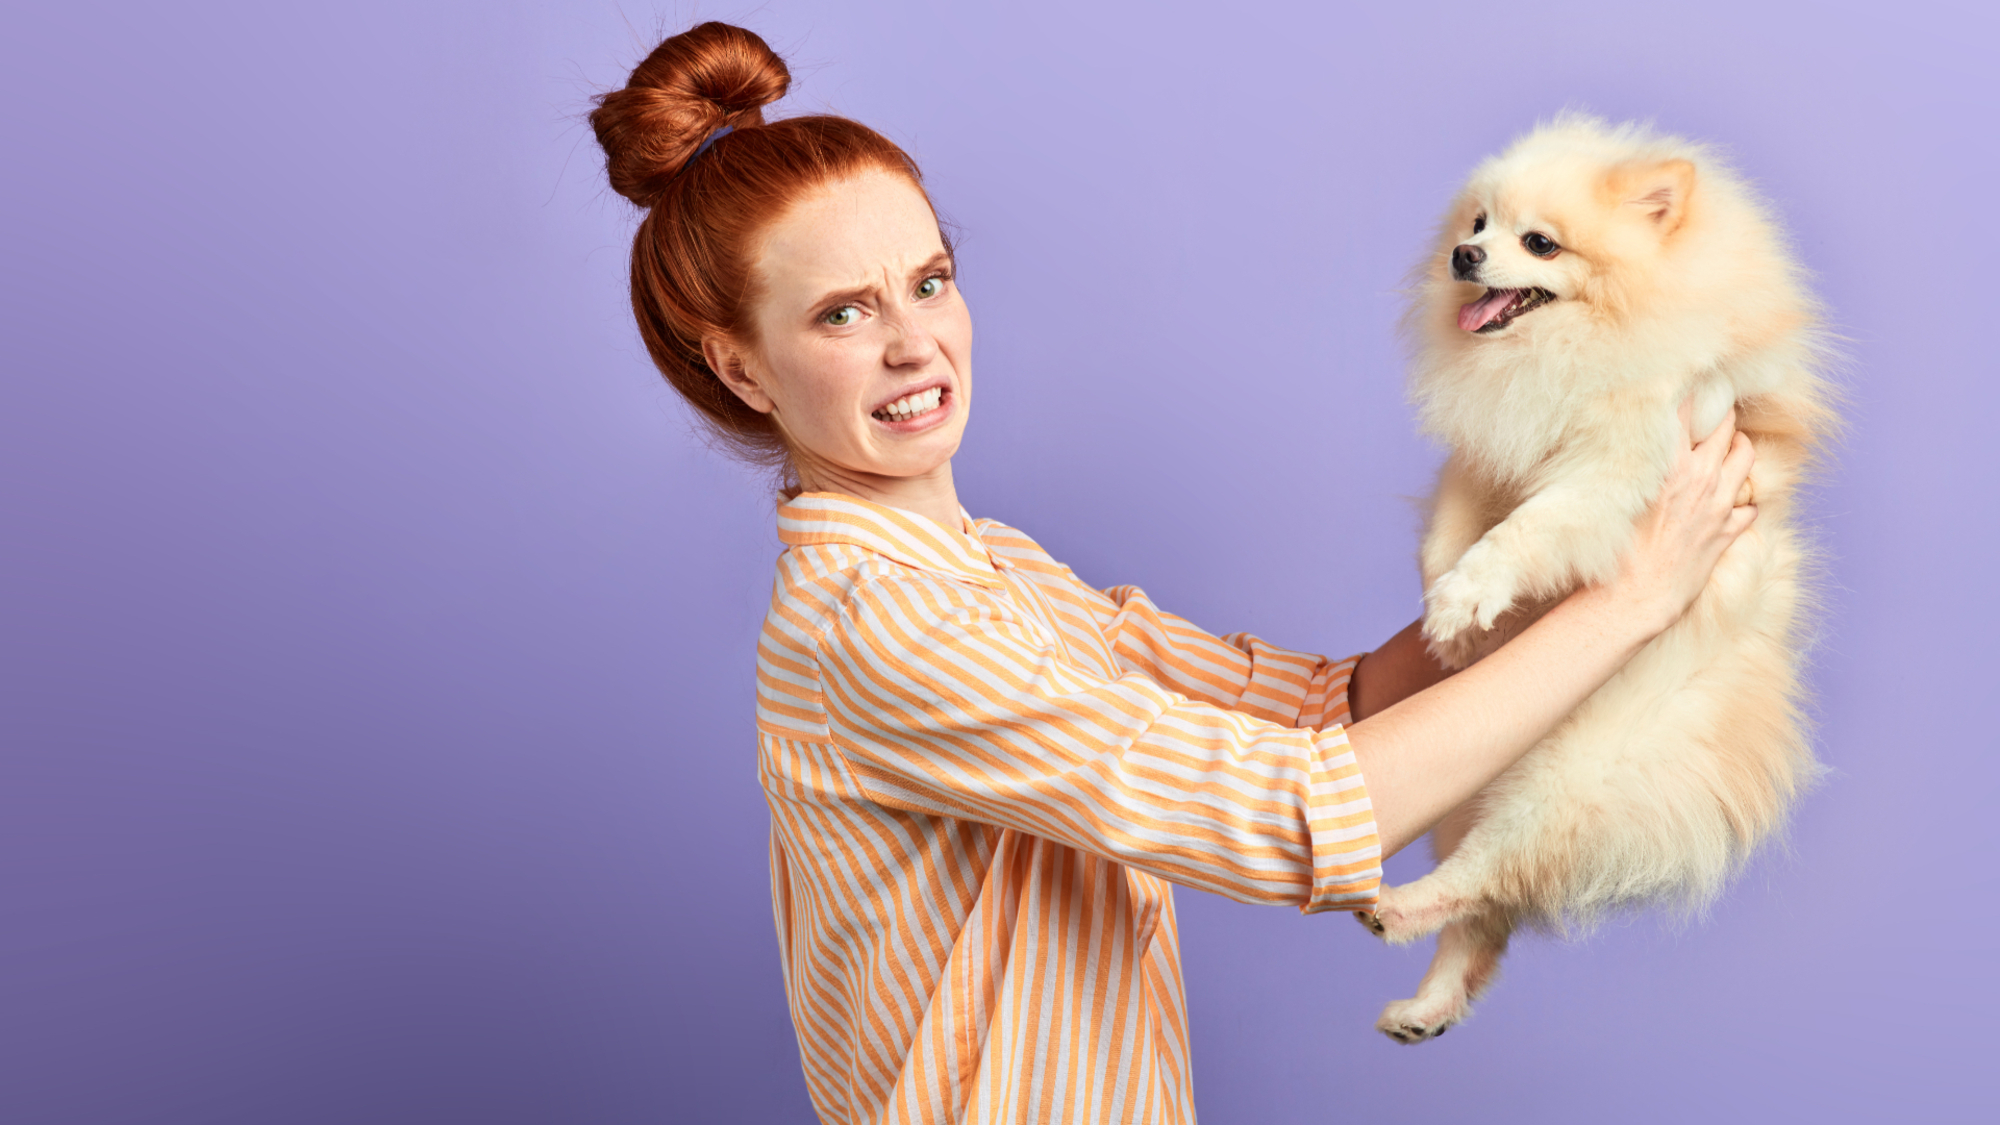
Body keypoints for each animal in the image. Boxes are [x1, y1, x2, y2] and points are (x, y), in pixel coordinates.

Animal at [1368, 116, 1832, 1040]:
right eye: (1477, 223)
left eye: (1539, 243)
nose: (1463, 257)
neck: (1568, 351)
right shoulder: (1490, 455)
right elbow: (1450, 530)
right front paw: (1455, 623)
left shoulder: (1617, 466)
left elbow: (1527, 529)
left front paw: (1468, 599)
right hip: (1475, 786)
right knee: (1485, 921)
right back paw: (1428, 1002)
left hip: (1564, 777)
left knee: (1490, 877)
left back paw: (1400, 909)